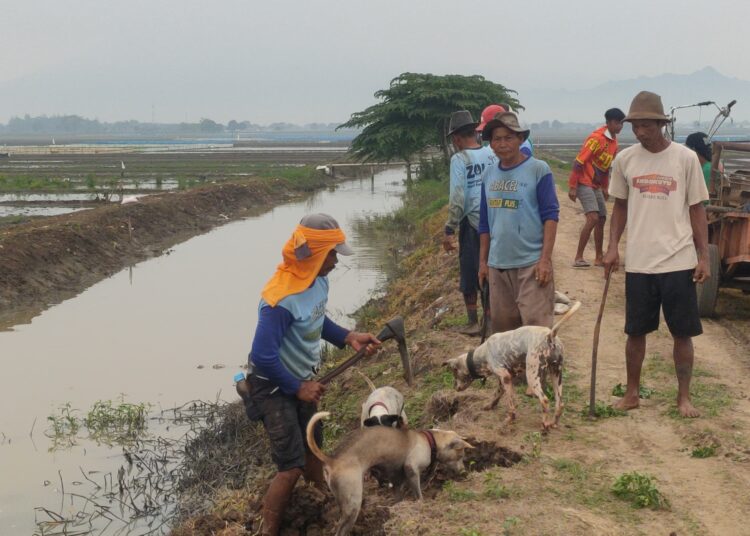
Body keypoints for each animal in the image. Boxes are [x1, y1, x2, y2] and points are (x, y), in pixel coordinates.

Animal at [304, 412, 470, 532]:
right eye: (460, 455)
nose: (464, 472)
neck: (430, 440)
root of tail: (332, 460)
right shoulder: (411, 468)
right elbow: (418, 493)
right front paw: (421, 504)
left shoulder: (397, 480)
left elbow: (398, 496)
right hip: (353, 504)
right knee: (340, 529)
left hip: (343, 501)